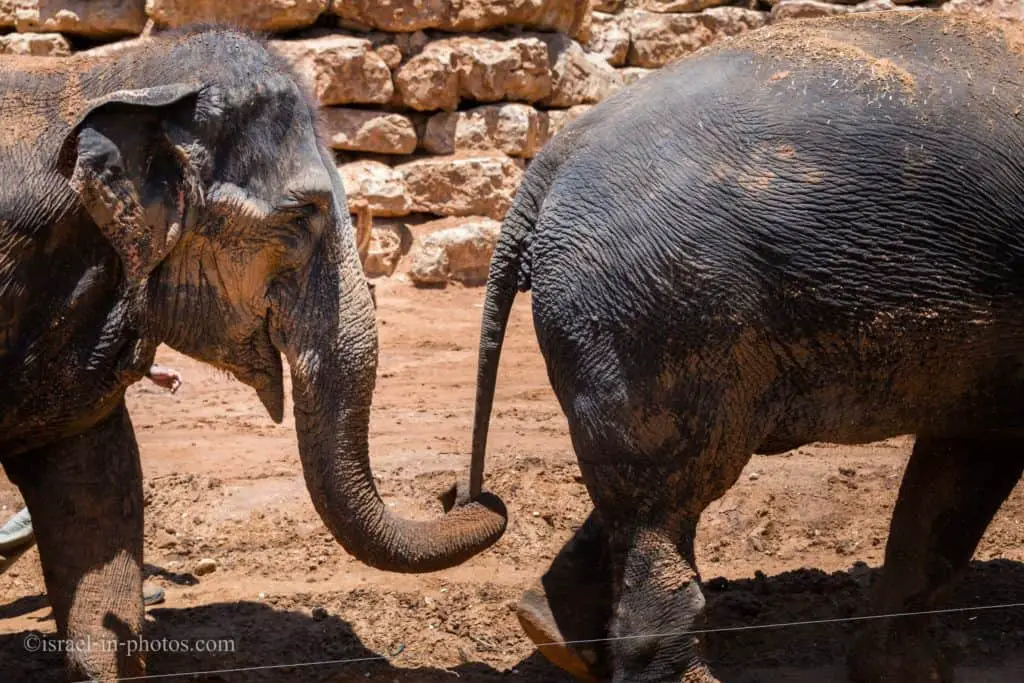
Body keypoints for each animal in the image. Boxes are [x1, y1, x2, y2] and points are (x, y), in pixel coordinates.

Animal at [464, 10, 1024, 683]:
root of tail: (550, 164)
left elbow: (956, 473)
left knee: (639, 485)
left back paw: (552, 635)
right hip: (658, 307)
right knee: (669, 492)